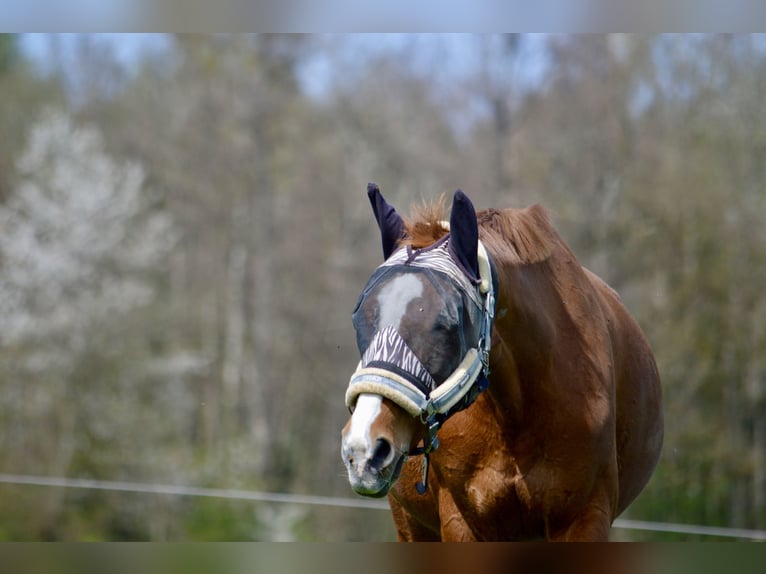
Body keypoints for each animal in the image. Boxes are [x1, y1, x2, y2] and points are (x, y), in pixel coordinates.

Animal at [342, 187, 664, 544]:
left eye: (450, 322)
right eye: (360, 317)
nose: (363, 448)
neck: (516, 415)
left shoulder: (585, 517)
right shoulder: (462, 522)